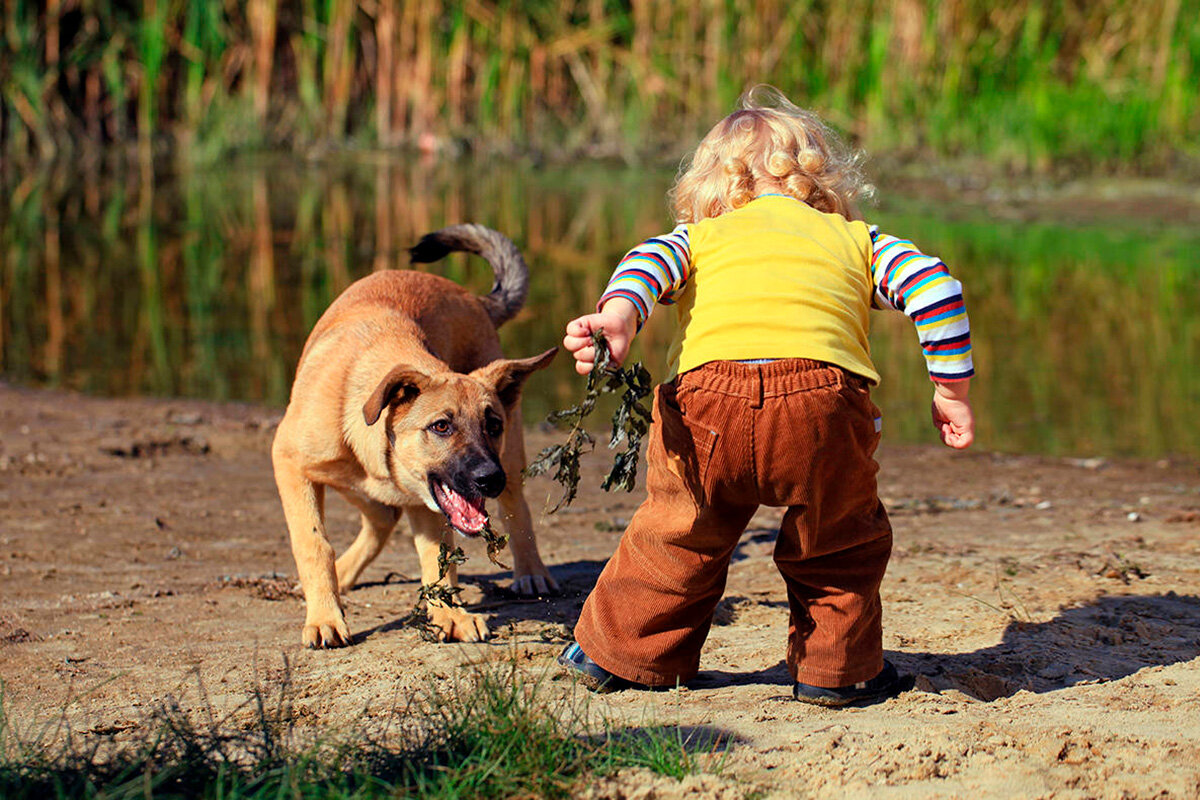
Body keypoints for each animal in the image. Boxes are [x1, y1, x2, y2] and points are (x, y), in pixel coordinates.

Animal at [272, 225, 556, 652]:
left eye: (493, 425)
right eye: (441, 426)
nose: (489, 479)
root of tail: (473, 297)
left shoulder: (429, 503)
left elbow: (439, 556)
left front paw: (450, 616)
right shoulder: (289, 462)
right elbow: (314, 544)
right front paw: (325, 618)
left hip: (506, 459)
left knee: (514, 507)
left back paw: (531, 571)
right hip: (347, 481)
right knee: (381, 517)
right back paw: (343, 575)